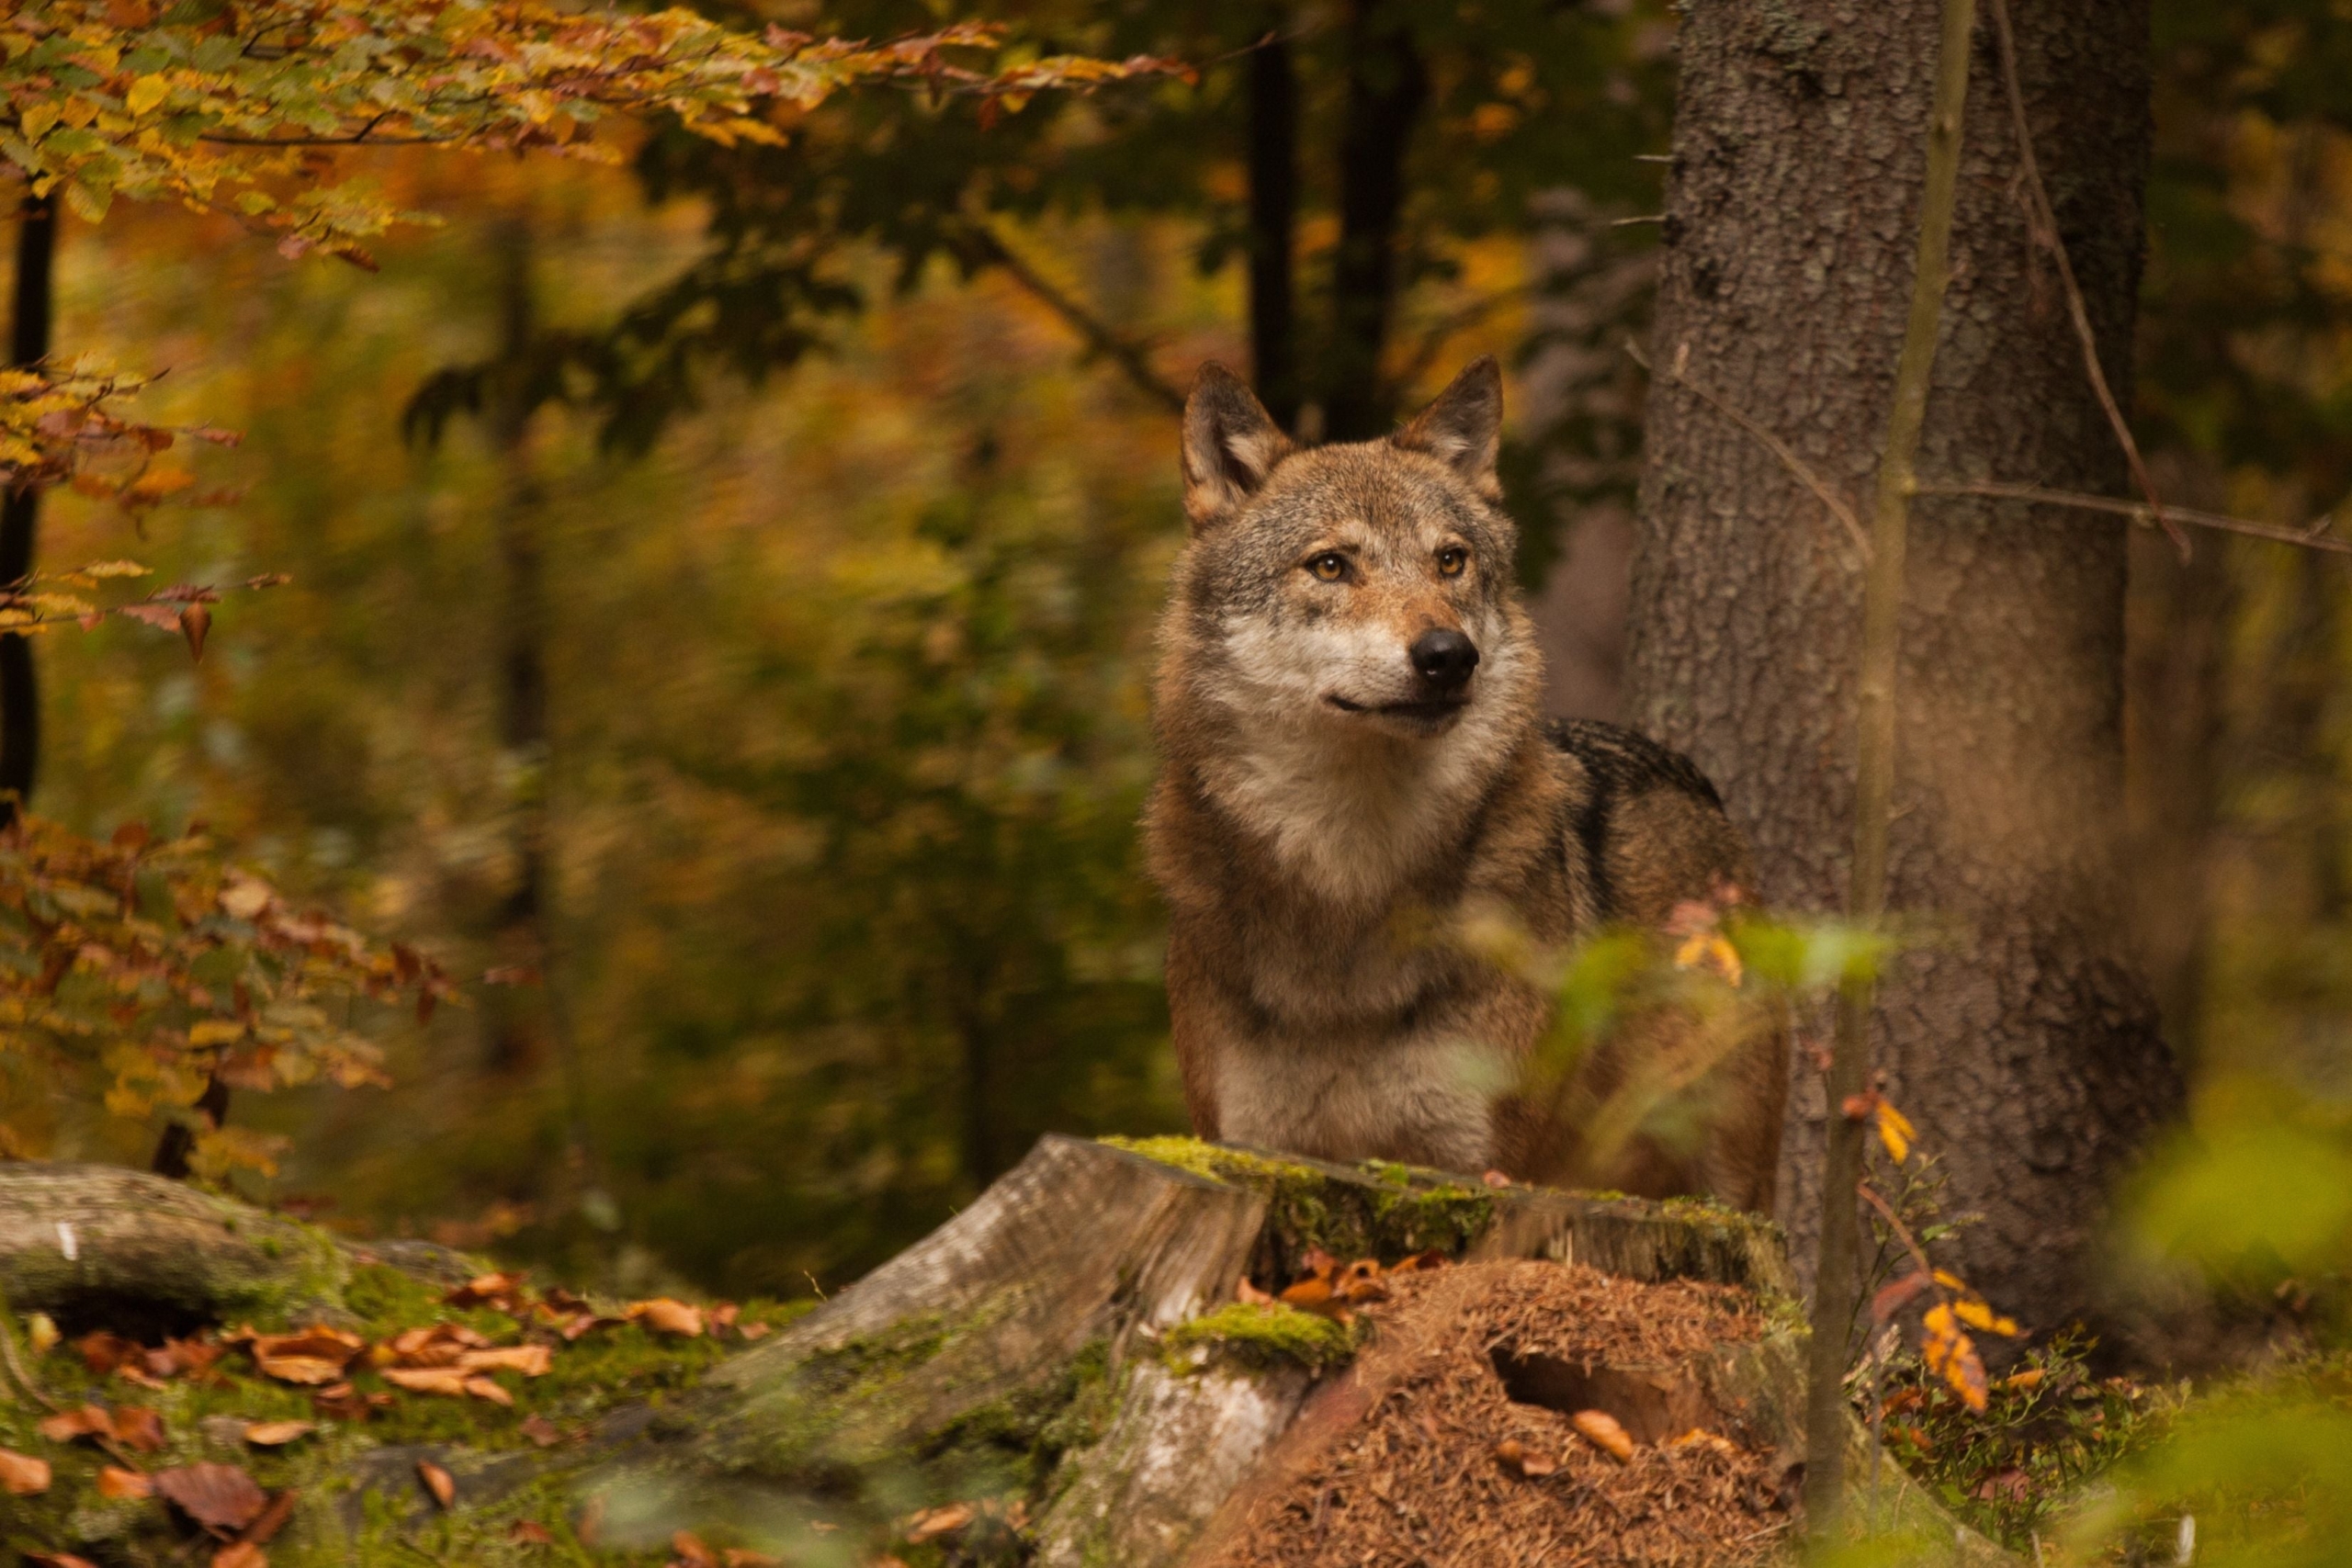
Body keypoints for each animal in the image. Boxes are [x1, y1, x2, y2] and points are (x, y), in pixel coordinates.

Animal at [1148, 359, 1787, 1213]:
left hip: (1729, 1183)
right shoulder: (1257, 1147)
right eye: (1330, 564)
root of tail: (1697, 781)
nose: (1448, 655)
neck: (1351, 882)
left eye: (1450, 561)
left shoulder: (1477, 1167)